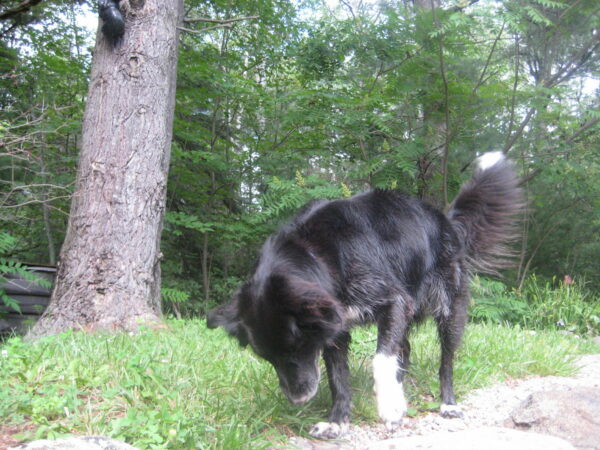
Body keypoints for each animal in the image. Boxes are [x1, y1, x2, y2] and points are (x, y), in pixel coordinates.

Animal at [209, 153, 524, 438]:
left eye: (297, 347)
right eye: (266, 358)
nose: (298, 400)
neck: (319, 254)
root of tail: (446, 220)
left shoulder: (393, 302)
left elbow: (380, 360)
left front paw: (389, 408)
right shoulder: (335, 330)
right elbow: (338, 379)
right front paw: (337, 422)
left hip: (448, 309)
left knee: (445, 360)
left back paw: (447, 404)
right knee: (404, 348)